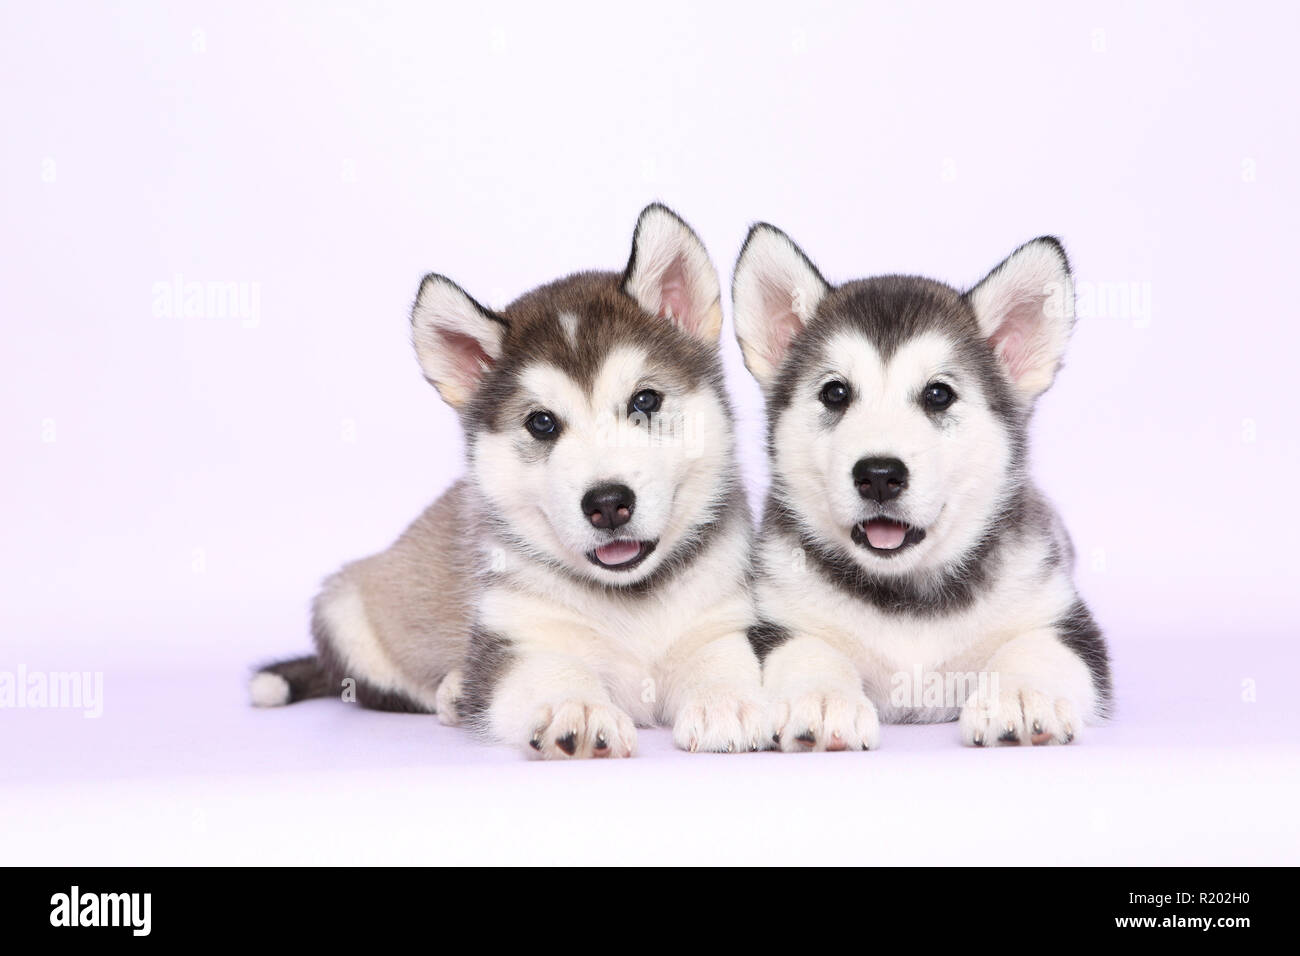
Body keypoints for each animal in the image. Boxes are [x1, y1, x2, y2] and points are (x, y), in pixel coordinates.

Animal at [248, 205, 764, 759]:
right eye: (542, 423)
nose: (608, 503)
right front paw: (577, 709)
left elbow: (719, 658)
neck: (629, 599)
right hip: (345, 607)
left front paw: (726, 702)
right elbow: (552, 673)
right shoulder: (517, 642)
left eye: (645, 401)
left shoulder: (722, 618)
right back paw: (453, 692)